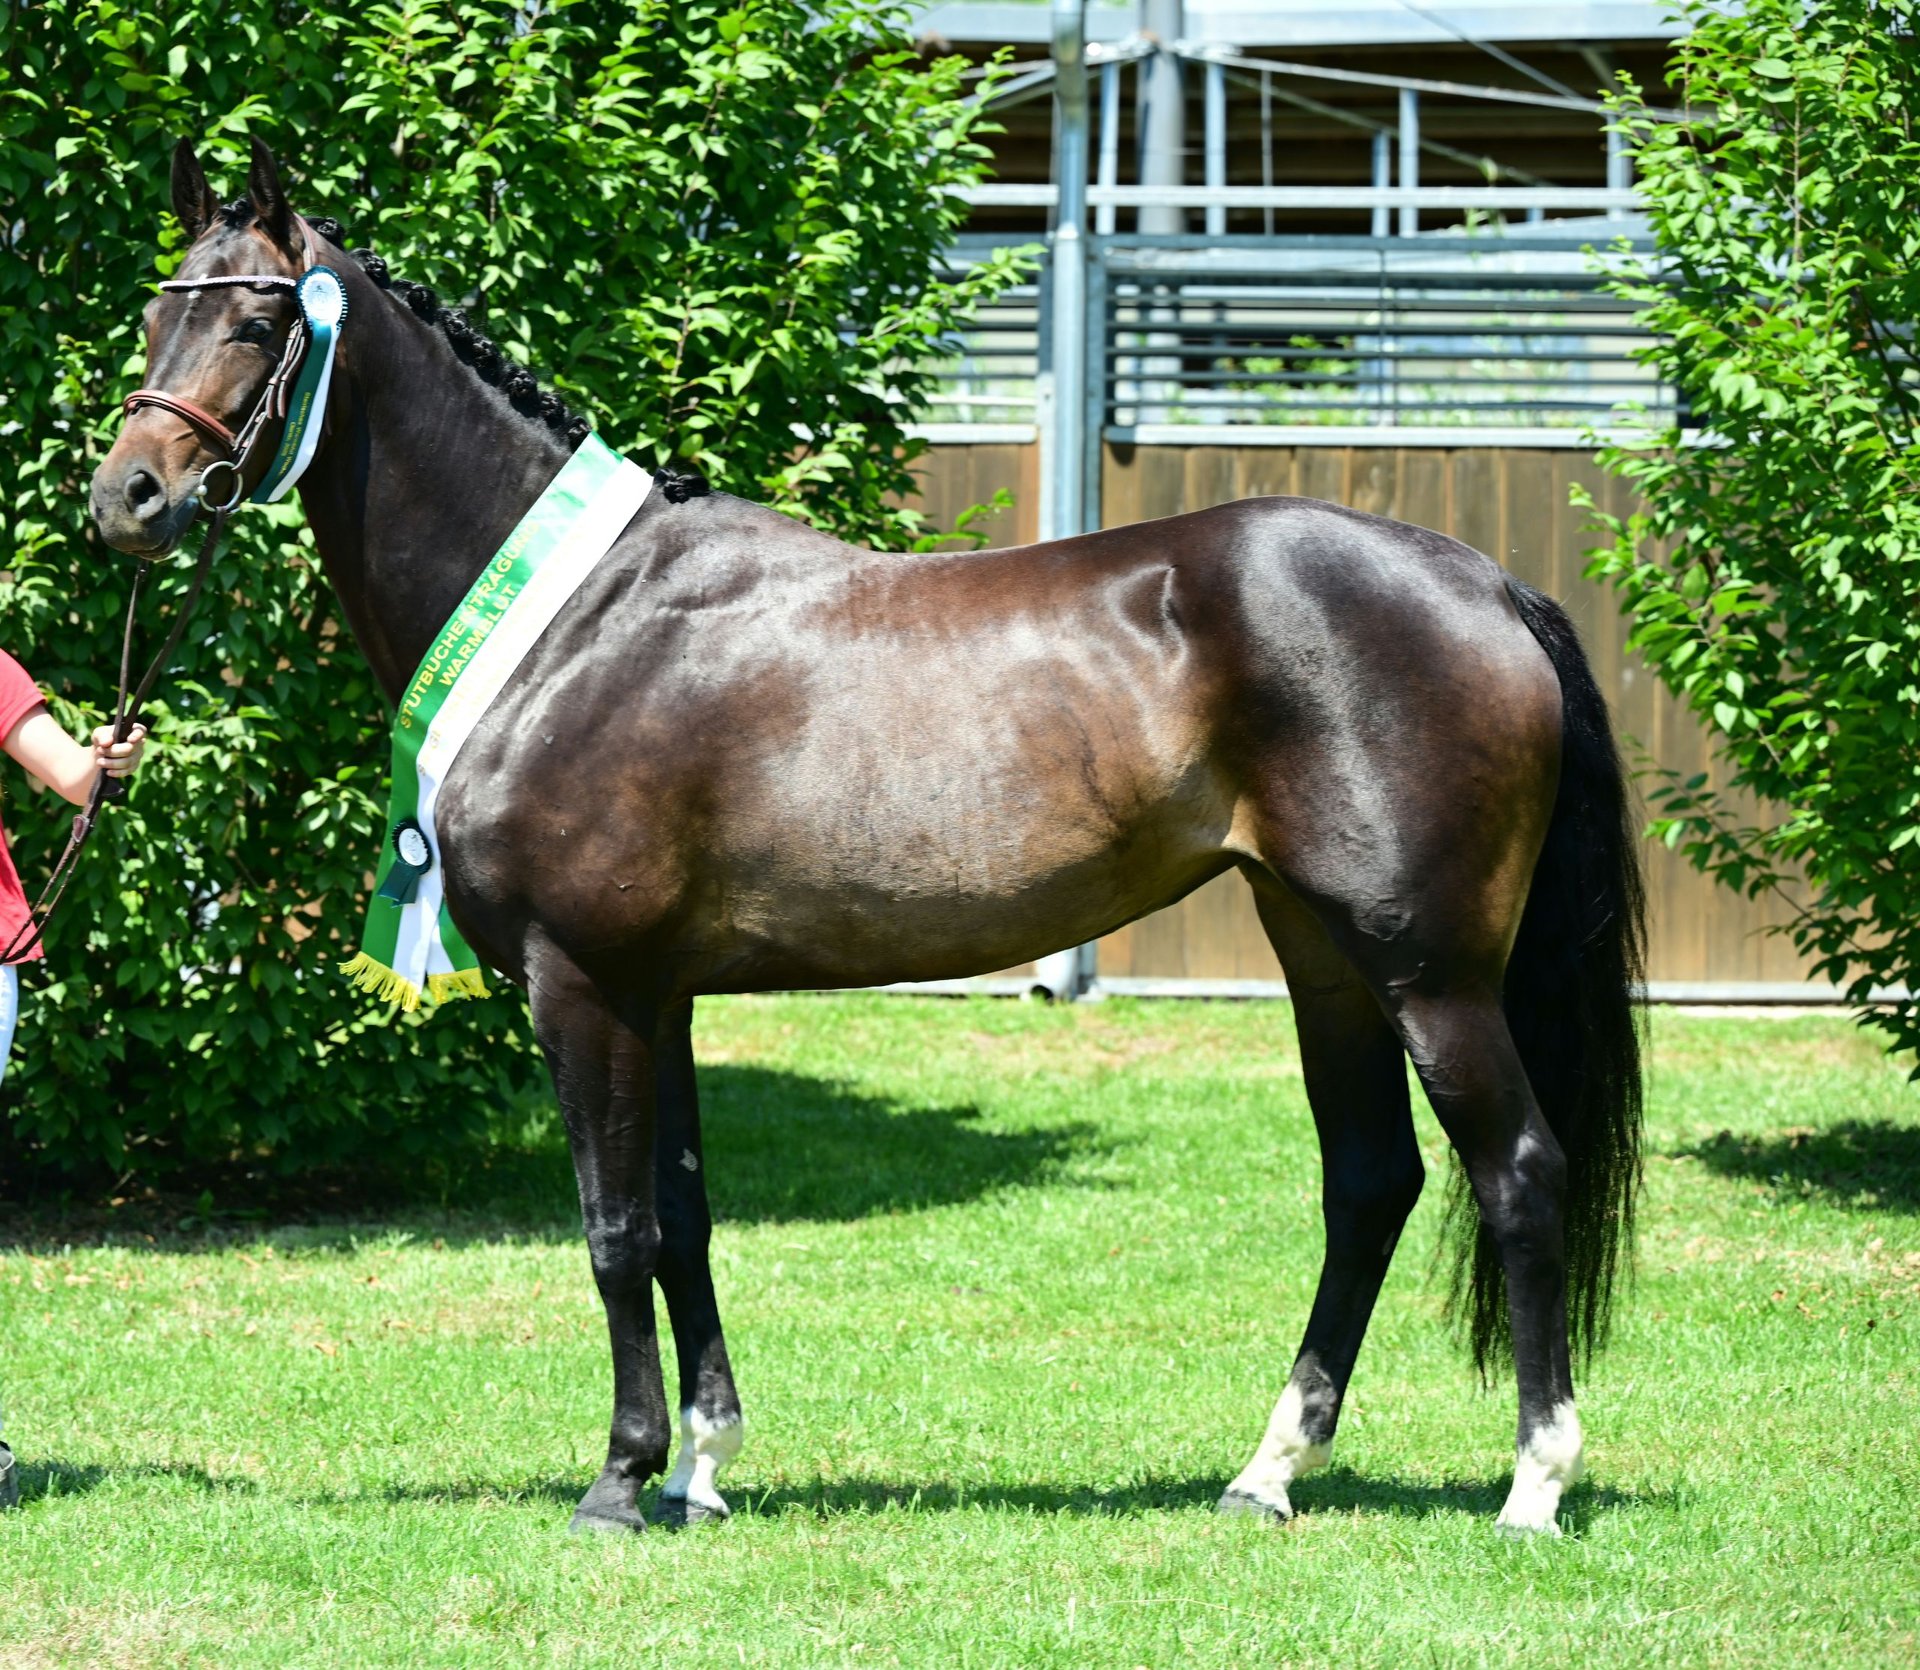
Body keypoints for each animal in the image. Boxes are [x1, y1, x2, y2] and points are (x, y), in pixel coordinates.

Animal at [89, 138, 1644, 1536]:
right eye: (156, 314)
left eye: (256, 319)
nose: (128, 498)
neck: (574, 624)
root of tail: (1486, 583)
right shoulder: (660, 993)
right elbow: (684, 1215)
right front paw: (702, 1469)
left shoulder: (584, 985)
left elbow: (614, 1228)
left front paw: (619, 1481)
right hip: (1322, 952)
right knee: (1370, 1180)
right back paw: (1268, 1472)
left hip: (1430, 971)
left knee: (1518, 1171)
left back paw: (1533, 1485)